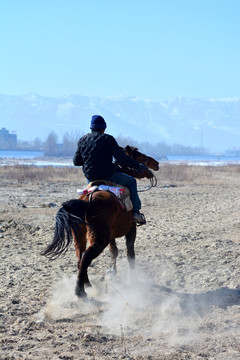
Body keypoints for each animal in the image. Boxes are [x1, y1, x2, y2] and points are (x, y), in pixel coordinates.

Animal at [41, 146, 159, 296]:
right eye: (139, 157)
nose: (156, 164)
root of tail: (87, 202)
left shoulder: (112, 236)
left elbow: (114, 252)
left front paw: (113, 273)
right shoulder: (131, 229)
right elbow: (130, 254)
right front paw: (133, 279)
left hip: (80, 237)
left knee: (80, 257)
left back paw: (87, 284)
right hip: (99, 239)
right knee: (86, 257)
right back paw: (80, 291)